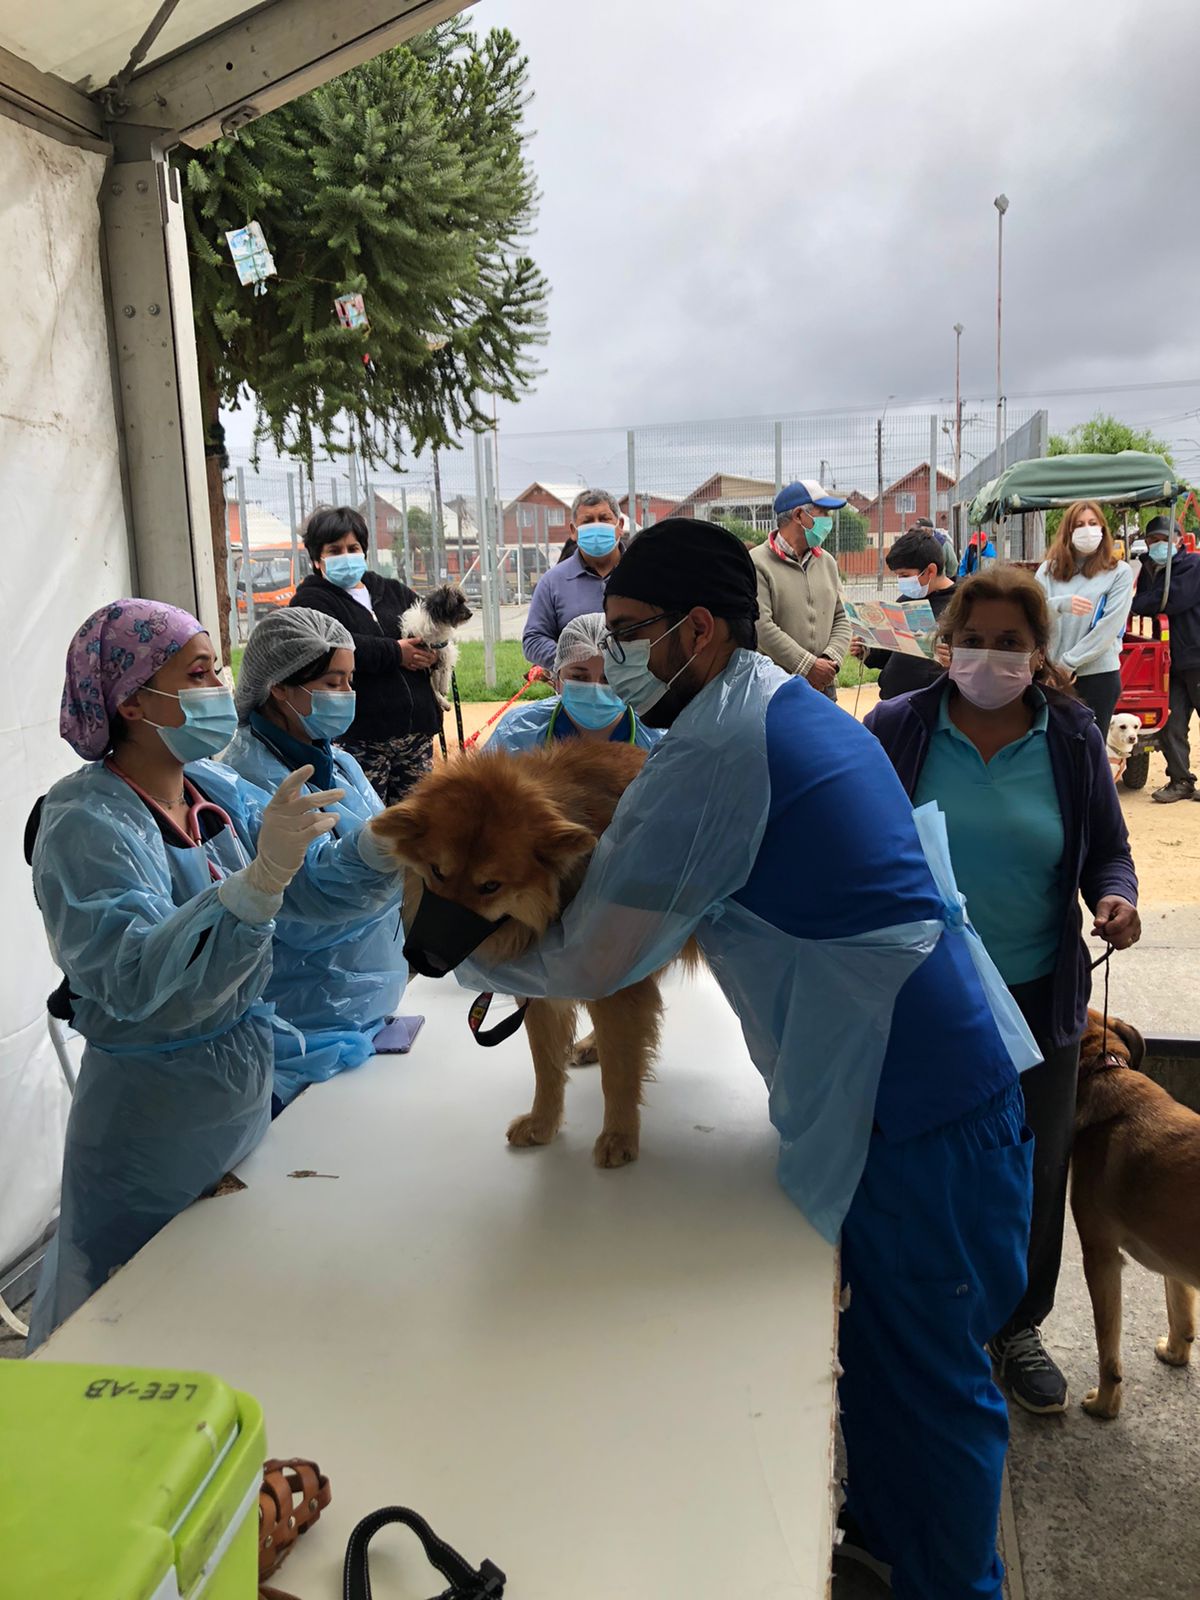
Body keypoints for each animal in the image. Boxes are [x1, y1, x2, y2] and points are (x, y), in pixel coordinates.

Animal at [374, 742, 678, 1171]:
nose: (421, 958)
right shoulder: (541, 992)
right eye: (437, 871)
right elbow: (546, 1065)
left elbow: (619, 1074)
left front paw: (619, 1135)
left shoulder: (616, 988)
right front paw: (543, 1124)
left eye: (490, 886)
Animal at [1068, 1004, 1200, 1420]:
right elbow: (1181, 1309)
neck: (1105, 1070)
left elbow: (1108, 1348)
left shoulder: (1101, 1257)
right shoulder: (1173, 1253)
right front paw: (1176, 1352)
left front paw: (1105, 1405)